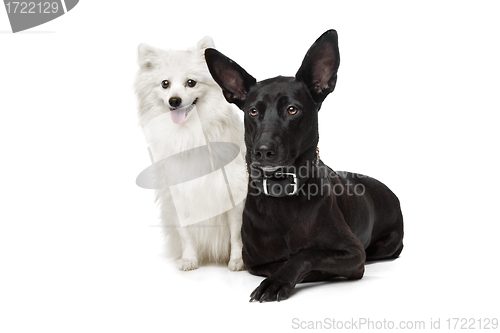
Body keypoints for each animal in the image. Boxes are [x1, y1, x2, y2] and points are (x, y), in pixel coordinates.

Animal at [136, 37, 247, 270]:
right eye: (165, 84)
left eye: (191, 83)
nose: (174, 100)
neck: (189, 133)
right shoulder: (179, 197)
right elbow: (185, 233)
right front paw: (189, 259)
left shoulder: (234, 192)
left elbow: (236, 233)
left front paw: (237, 261)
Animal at [205, 30, 404, 300]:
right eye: (253, 111)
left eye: (292, 110)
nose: (262, 152)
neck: (282, 194)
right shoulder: (253, 262)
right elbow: (280, 262)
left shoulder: (353, 253)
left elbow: (306, 254)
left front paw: (280, 280)